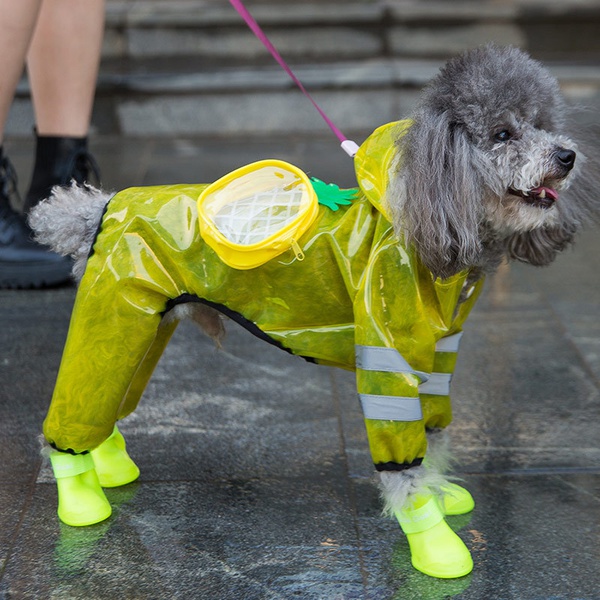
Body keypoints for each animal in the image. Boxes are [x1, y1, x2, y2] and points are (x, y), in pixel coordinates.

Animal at [30, 44, 596, 580]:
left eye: (544, 123)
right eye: (502, 133)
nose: (568, 155)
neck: (428, 218)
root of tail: (100, 207)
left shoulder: (439, 354)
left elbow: (433, 432)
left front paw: (440, 489)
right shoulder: (387, 354)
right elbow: (403, 462)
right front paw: (432, 541)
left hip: (141, 328)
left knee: (106, 402)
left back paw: (109, 466)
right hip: (115, 315)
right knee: (73, 415)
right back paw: (81, 500)